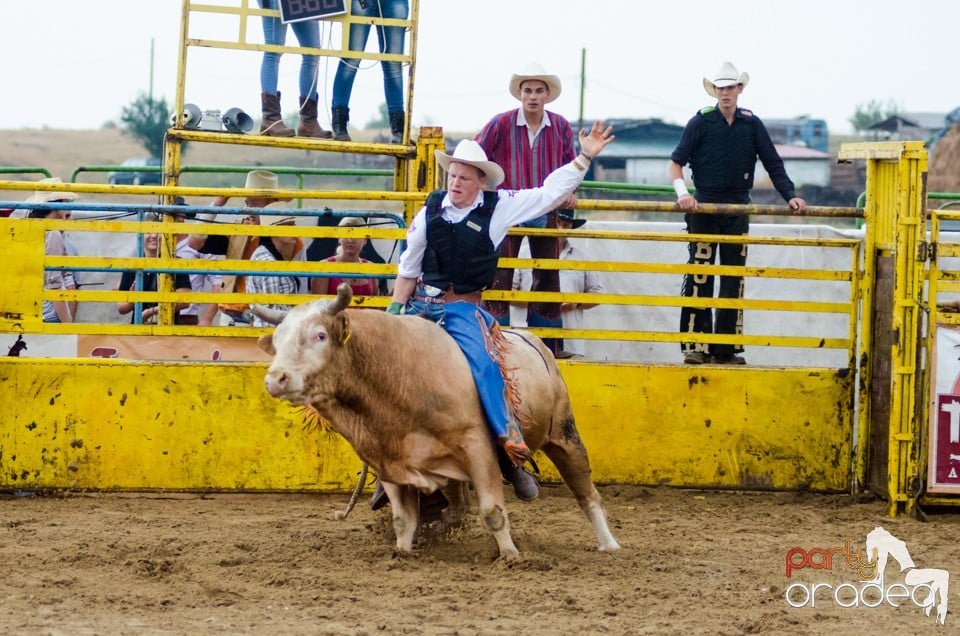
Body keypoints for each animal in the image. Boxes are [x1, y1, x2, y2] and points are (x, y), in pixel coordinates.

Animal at [251, 284, 620, 556]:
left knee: (586, 492)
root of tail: (536, 343)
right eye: (277, 341)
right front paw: (403, 552)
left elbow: (492, 512)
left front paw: (511, 556)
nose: (275, 379)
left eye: (320, 335)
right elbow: (403, 519)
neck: (399, 373)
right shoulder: (387, 461)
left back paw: (609, 544)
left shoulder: (477, 448)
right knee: (457, 505)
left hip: (563, 434)